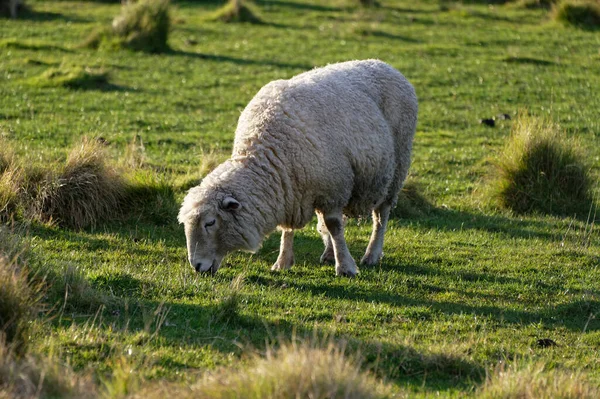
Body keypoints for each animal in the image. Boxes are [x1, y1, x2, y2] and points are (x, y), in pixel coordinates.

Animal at [178, 59, 418, 278]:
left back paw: (371, 254)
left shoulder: (332, 188)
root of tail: (386, 65)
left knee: (381, 216)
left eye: (210, 223)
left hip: (397, 168)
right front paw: (283, 262)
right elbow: (289, 228)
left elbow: (334, 225)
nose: (197, 266)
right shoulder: (290, 189)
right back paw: (329, 253)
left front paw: (345, 267)